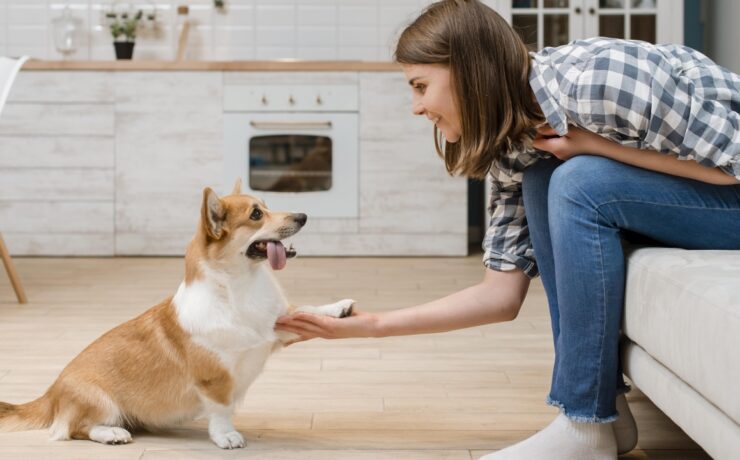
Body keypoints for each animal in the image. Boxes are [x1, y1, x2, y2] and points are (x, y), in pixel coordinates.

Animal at [0, 181, 356, 450]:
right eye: (256, 215)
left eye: (266, 206)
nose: (303, 215)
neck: (240, 286)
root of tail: (51, 392)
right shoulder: (215, 377)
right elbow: (221, 409)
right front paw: (226, 436)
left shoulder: (276, 327)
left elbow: (305, 309)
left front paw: (339, 308)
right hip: (99, 400)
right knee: (73, 429)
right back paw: (112, 433)